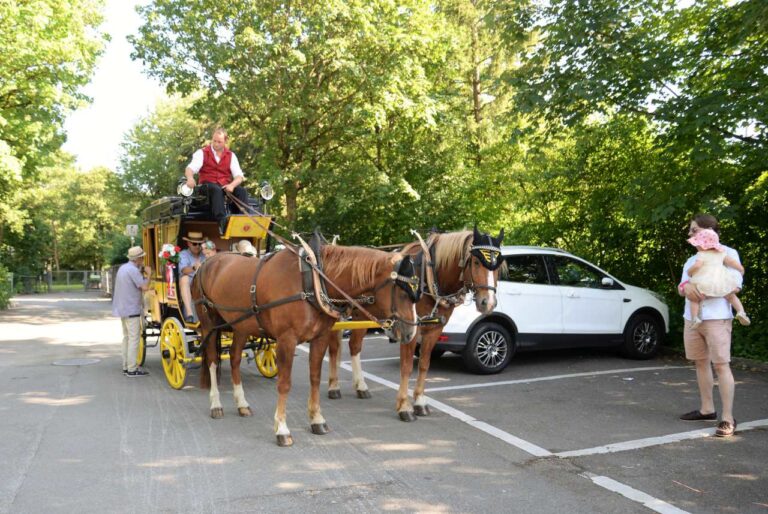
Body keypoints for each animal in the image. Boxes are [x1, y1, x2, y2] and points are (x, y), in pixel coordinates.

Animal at [192, 244, 420, 444]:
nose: (411, 332)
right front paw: (282, 429)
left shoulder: (320, 338)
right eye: (402, 291)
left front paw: (317, 419)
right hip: (208, 324)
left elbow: (315, 378)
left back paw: (241, 404)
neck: (310, 282)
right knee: (212, 360)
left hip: (240, 326)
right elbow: (284, 384)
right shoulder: (286, 340)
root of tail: (207, 263)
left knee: (234, 360)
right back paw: (216, 405)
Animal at [326, 228, 500, 420]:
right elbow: (407, 366)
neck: (429, 276)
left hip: (360, 314)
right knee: (334, 348)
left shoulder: (434, 330)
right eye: (476, 262)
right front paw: (404, 406)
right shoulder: (410, 328)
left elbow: (424, 364)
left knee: (354, 345)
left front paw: (420, 402)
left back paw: (361, 386)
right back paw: (334, 387)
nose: (488, 303)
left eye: (499, 264)